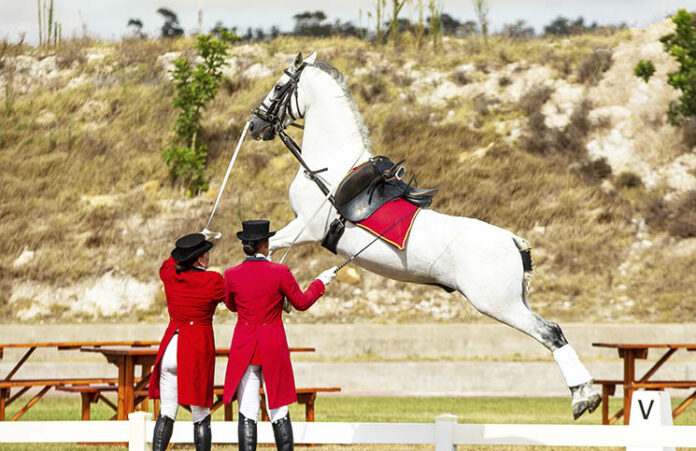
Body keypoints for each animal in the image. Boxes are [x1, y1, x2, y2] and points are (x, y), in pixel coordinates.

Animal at [250, 51, 604, 418]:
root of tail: (512, 241)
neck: (329, 169)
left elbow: (272, 249)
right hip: (514, 301)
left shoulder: (305, 227)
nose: (255, 125)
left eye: (279, 86)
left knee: (551, 333)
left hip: (497, 304)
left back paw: (584, 397)